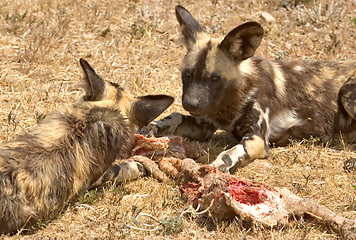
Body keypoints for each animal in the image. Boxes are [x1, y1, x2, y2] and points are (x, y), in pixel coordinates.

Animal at [143, 5, 356, 173]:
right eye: (187, 74)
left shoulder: (256, 139)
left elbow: (228, 154)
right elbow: (174, 116)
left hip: (346, 94)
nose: (190, 103)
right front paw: (152, 127)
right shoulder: (204, 124)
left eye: (214, 78)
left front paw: (214, 170)